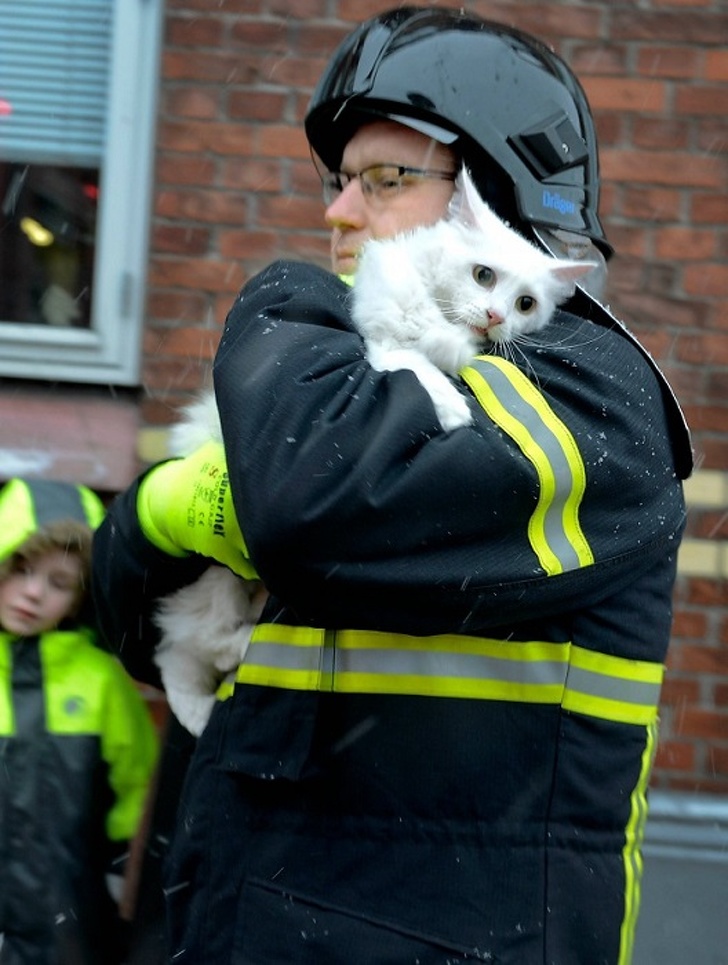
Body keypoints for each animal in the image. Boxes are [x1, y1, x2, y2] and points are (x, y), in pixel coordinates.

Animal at [352, 169, 596, 430]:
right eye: (483, 275)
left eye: (526, 304)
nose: (496, 317)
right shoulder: (383, 324)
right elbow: (412, 358)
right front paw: (452, 408)